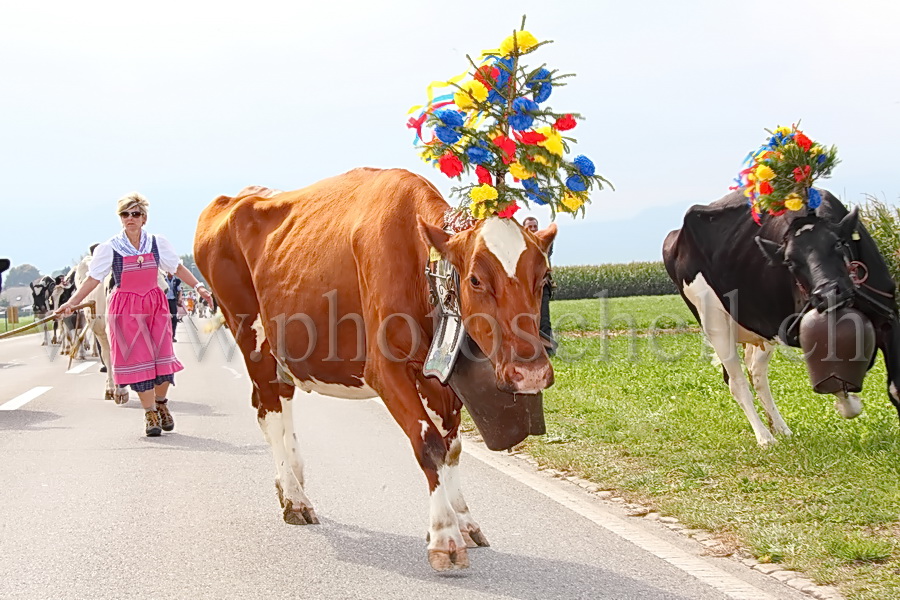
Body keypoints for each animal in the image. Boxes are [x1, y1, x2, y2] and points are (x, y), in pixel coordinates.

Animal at [197, 166, 556, 568]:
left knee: (277, 404)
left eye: (544, 279)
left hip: (282, 349)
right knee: (271, 413)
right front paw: (444, 535)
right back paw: (294, 499)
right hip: (249, 334)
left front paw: (463, 520)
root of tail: (232, 199)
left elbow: (452, 448)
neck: (419, 264)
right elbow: (428, 443)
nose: (532, 373)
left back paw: (293, 478)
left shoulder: (438, 378)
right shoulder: (385, 371)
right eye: (476, 279)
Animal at [660, 189, 900, 446]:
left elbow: (895, 389)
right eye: (789, 262)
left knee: (756, 373)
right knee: (737, 382)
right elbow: (836, 383)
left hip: (762, 327)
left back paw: (780, 428)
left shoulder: (889, 318)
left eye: (838, 243)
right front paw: (848, 402)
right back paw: (765, 437)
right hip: (713, 320)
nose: (827, 293)